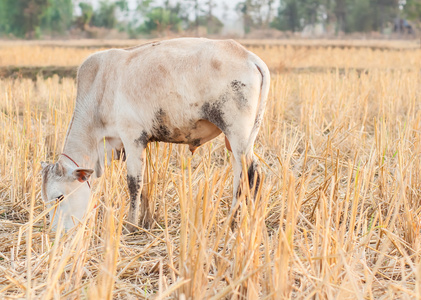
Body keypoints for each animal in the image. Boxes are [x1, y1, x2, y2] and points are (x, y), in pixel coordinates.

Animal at [41, 37, 270, 230]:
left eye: (59, 197)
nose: (55, 232)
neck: (99, 91)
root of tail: (249, 57)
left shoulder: (132, 137)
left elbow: (134, 183)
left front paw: (131, 224)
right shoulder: (138, 144)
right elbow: (144, 184)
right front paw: (145, 219)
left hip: (237, 134)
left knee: (249, 173)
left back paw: (234, 221)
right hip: (236, 140)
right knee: (247, 172)